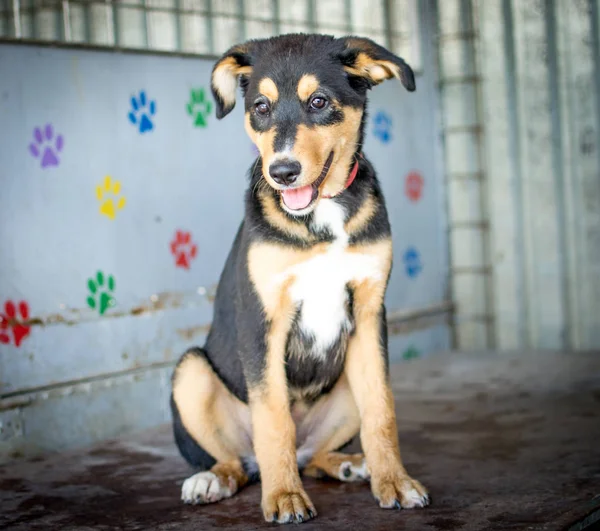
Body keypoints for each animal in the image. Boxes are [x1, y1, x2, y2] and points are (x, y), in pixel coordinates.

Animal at [171, 34, 428, 528]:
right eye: (261, 107)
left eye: (319, 102)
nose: (282, 172)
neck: (320, 218)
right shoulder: (262, 321)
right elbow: (273, 419)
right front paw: (285, 497)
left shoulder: (370, 315)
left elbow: (381, 410)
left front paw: (395, 482)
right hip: (190, 372)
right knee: (238, 460)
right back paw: (214, 480)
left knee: (310, 455)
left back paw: (347, 463)